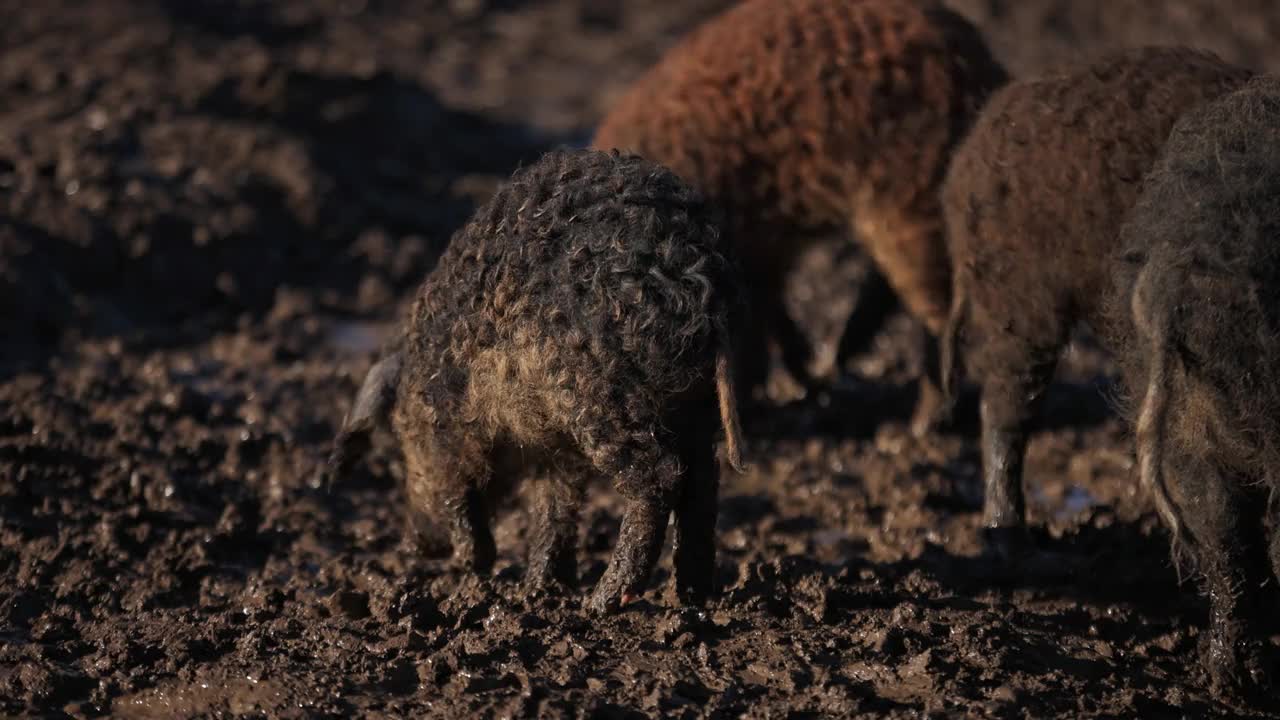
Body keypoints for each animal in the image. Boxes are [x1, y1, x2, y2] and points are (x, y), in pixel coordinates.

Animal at [322, 147, 747, 609]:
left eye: (399, 446)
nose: (414, 544)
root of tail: (699, 275)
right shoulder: (550, 445)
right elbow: (553, 508)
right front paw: (538, 590)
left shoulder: (450, 431)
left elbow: (462, 496)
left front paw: (476, 566)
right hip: (694, 404)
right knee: (702, 483)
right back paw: (690, 596)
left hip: (607, 397)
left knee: (660, 478)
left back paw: (602, 601)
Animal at [591, 0, 1008, 427]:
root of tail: (983, 70)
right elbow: (774, 311)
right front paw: (803, 379)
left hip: (911, 197)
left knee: (938, 311)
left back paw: (918, 426)